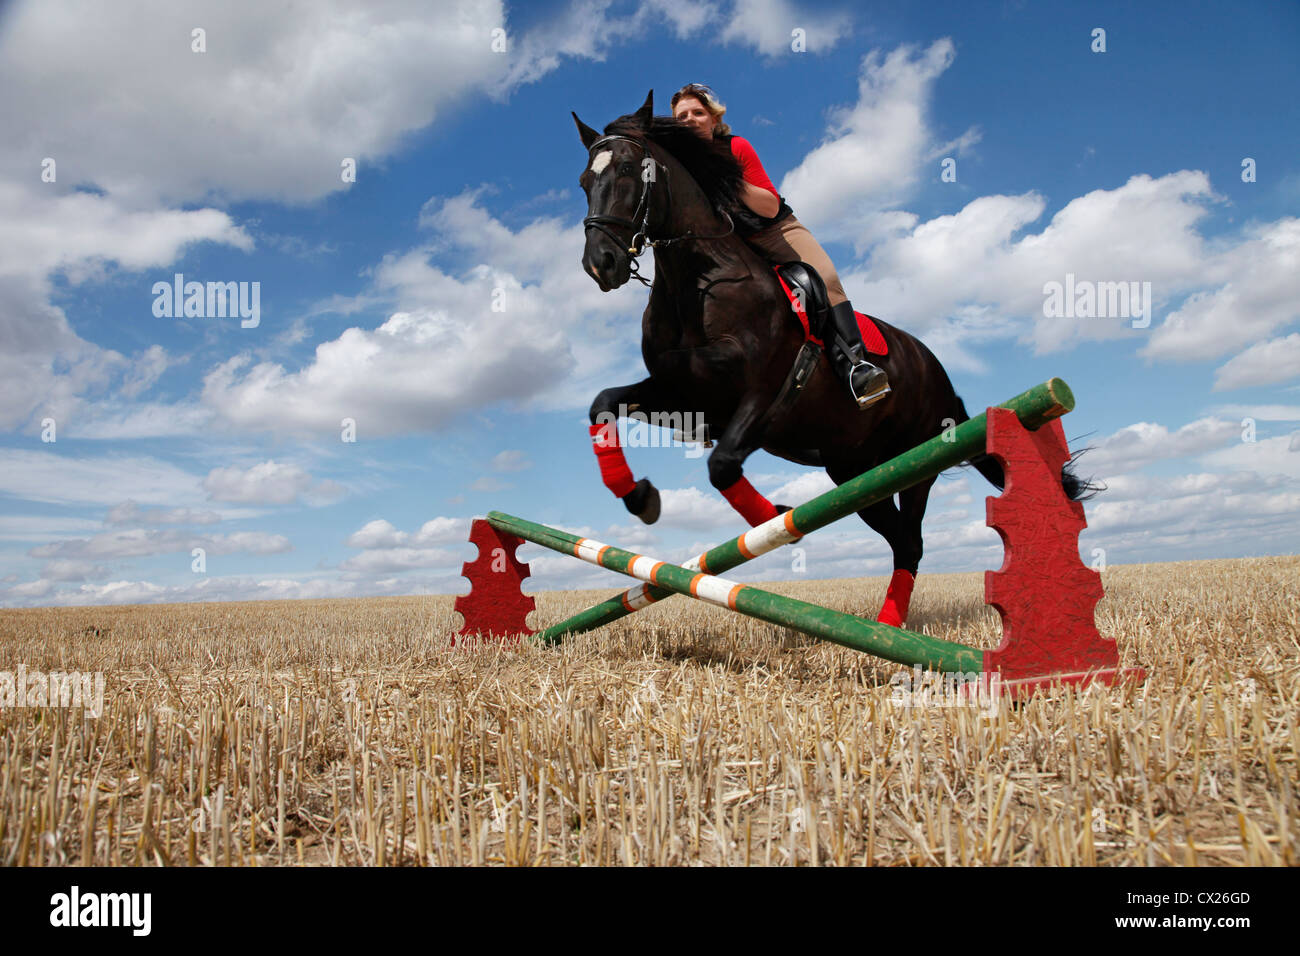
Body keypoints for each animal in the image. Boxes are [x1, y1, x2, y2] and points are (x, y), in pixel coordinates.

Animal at [574, 91, 1081, 629]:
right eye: (584, 182)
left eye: (629, 170)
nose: (600, 264)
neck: (698, 281)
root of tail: (936, 369)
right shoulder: (683, 395)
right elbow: (604, 403)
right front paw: (640, 496)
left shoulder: (765, 394)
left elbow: (723, 465)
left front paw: (777, 516)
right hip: (855, 471)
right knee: (899, 537)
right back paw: (887, 622)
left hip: (916, 460)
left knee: (911, 542)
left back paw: (889, 624)